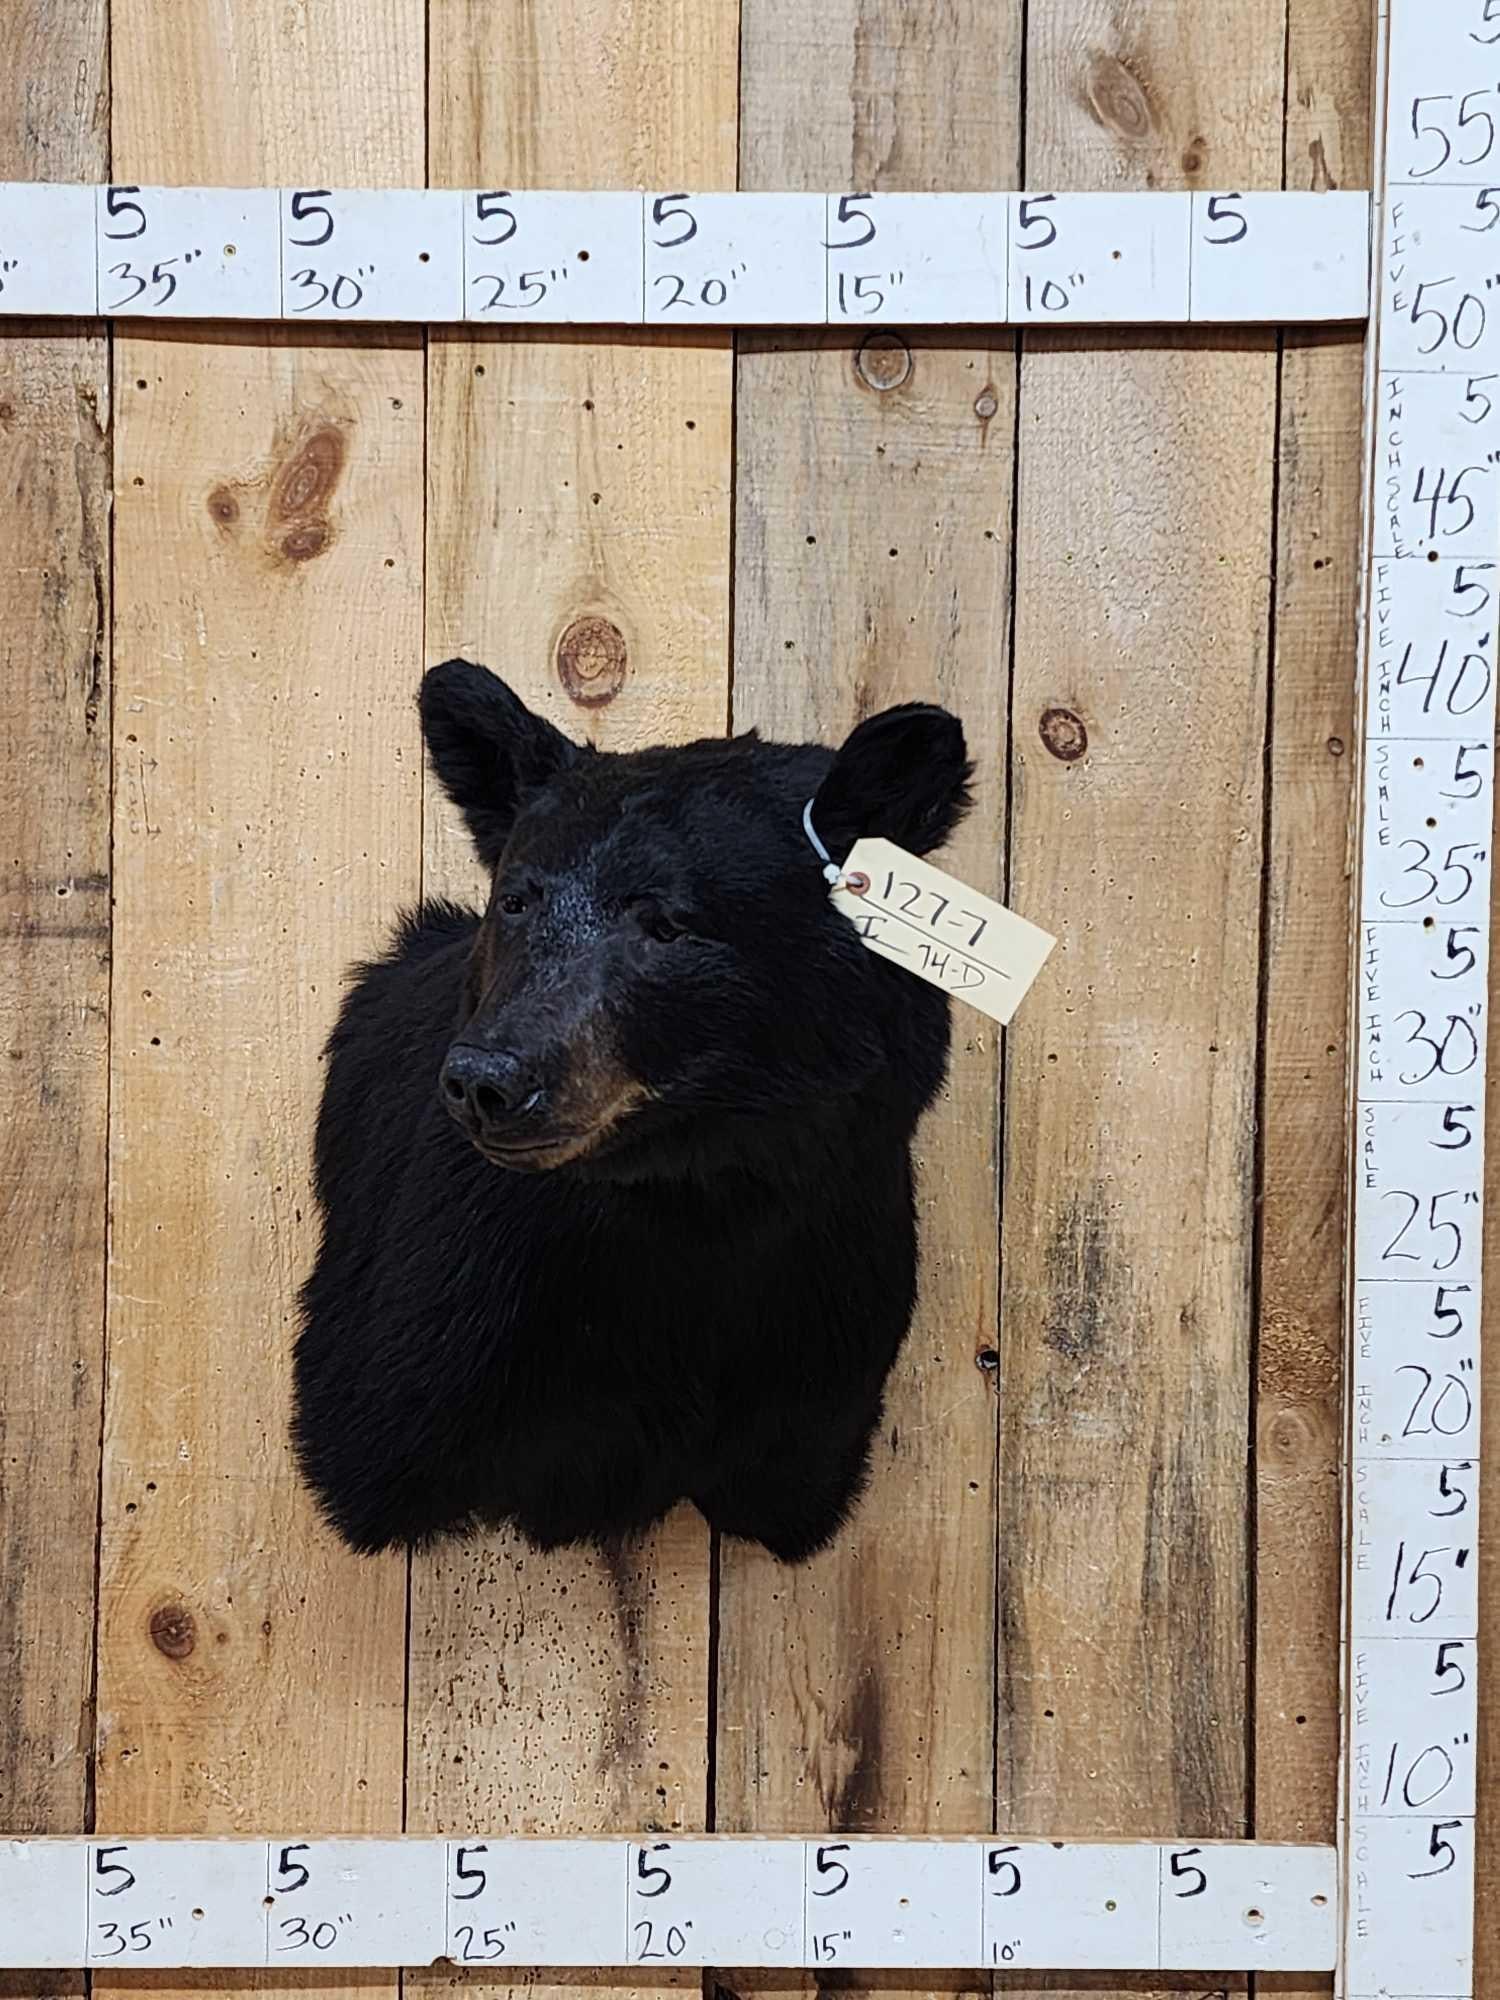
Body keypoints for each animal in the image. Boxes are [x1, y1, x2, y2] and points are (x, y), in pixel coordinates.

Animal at [291, 656, 972, 1564]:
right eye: (516, 900)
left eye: (667, 922)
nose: (485, 1079)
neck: (697, 1198)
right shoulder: (444, 1315)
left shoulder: (832, 1319)